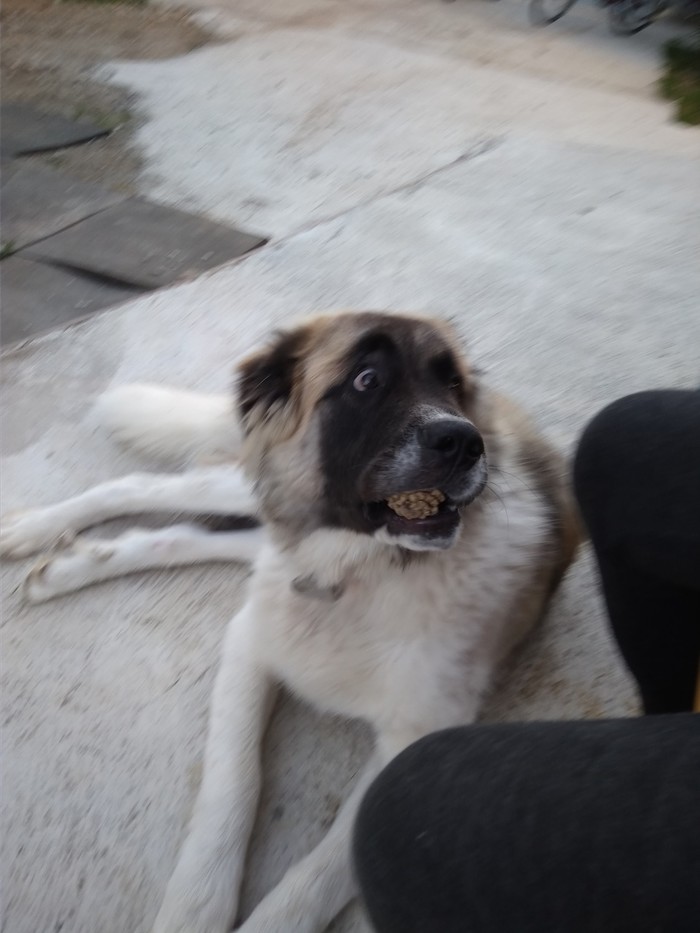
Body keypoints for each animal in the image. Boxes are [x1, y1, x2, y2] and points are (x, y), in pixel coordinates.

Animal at [0, 312, 580, 932]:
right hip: (250, 489)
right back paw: (34, 531)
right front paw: (196, 910)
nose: (466, 442)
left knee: (188, 534)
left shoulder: (414, 737)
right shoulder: (249, 645)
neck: (354, 574)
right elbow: (234, 782)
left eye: (452, 384)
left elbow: (314, 879)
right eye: (367, 380)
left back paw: (71, 566)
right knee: (140, 488)